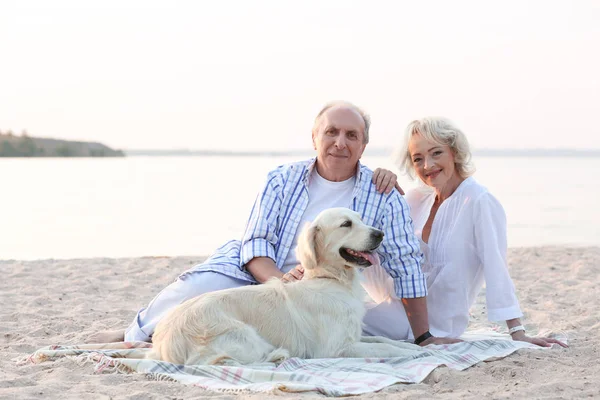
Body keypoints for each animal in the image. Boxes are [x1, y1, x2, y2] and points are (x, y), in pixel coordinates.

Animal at [146, 208, 418, 364]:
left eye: (361, 219)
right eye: (346, 224)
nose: (380, 233)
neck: (330, 279)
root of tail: (161, 345)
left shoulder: (353, 335)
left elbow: (384, 340)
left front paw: (409, 346)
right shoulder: (338, 348)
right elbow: (385, 346)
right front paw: (409, 353)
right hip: (244, 336)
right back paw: (280, 355)